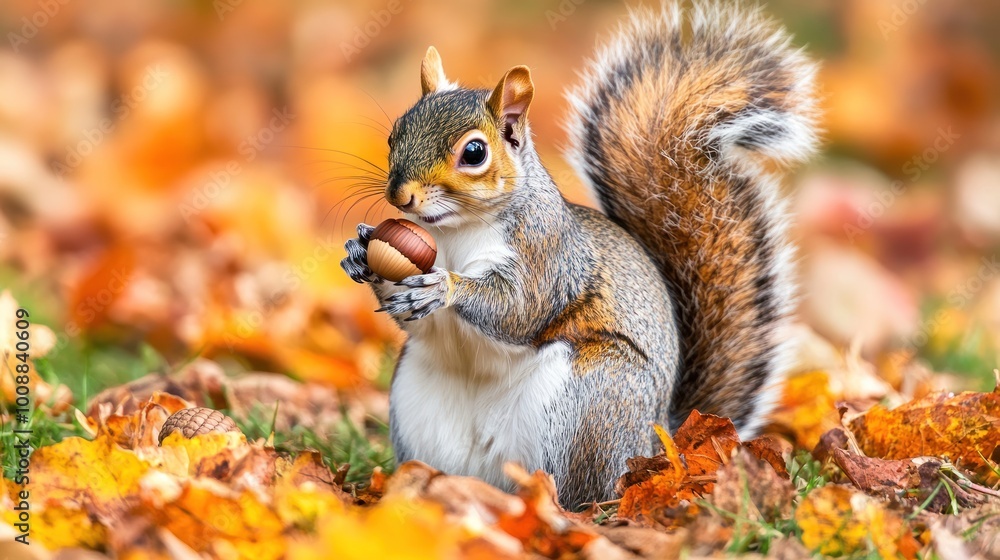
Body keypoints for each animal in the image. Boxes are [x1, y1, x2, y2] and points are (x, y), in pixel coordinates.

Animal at [340, 1, 817, 506]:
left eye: (474, 153)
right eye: (395, 133)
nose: (400, 195)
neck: (454, 232)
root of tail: (658, 444)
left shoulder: (547, 255)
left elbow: (520, 309)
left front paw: (442, 287)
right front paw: (360, 252)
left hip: (589, 399)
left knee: (576, 494)